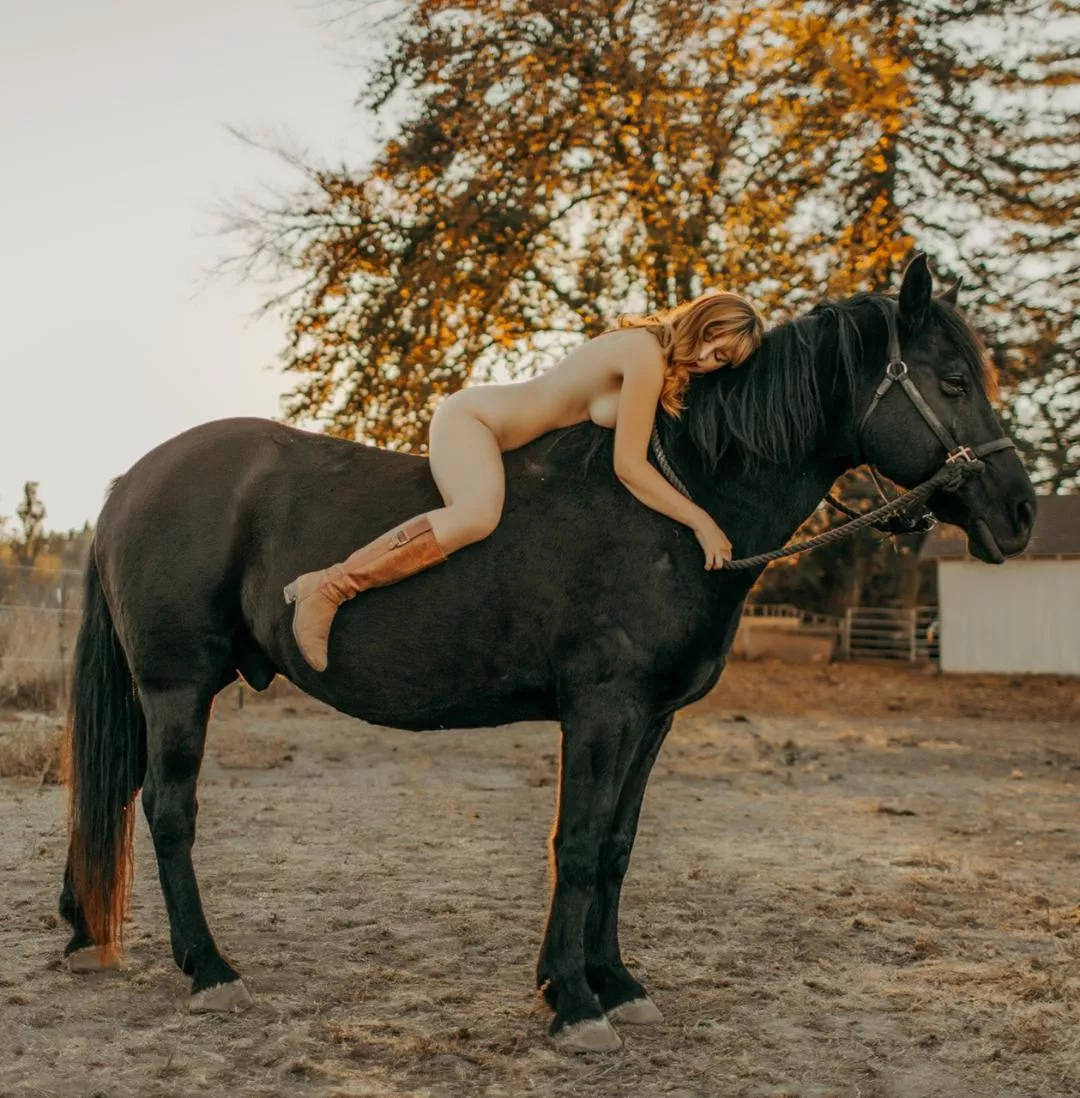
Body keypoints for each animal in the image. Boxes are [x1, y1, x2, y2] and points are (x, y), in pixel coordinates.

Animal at [60, 255, 1035, 1052]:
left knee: (119, 797)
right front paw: (573, 1001)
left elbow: (617, 847)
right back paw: (210, 970)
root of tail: (129, 481)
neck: (681, 501)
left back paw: (85, 930)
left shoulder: (651, 720)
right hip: (179, 687)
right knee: (169, 814)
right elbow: (578, 842)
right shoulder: (602, 710)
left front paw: (616, 984)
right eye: (953, 379)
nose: (1019, 512)